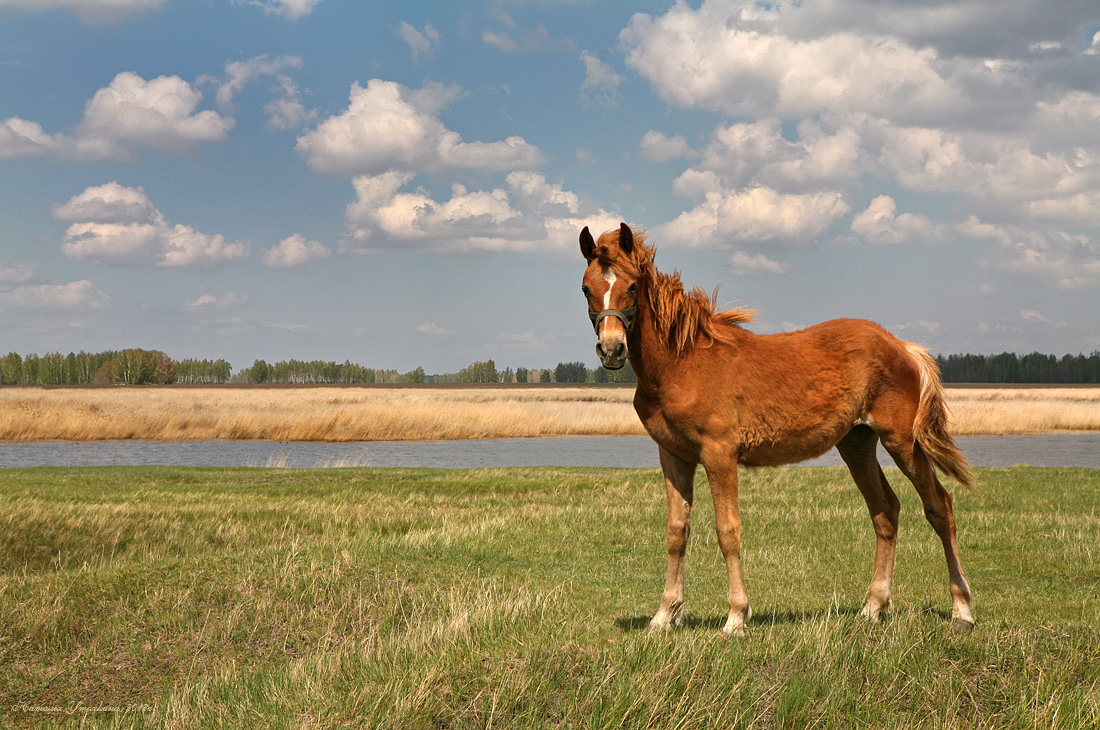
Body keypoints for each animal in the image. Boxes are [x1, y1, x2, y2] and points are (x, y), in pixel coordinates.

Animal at [580, 222, 976, 637]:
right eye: (587, 288)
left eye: (632, 286)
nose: (611, 349)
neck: (682, 363)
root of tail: (901, 345)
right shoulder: (673, 456)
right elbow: (677, 531)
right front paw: (664, 615)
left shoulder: (719, 454)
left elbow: (728, 531)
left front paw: (736, 617)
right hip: (857, 442)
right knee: (885, 510)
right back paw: (873, 607)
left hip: (902, 440)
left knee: (939, 506)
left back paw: (962, 611)